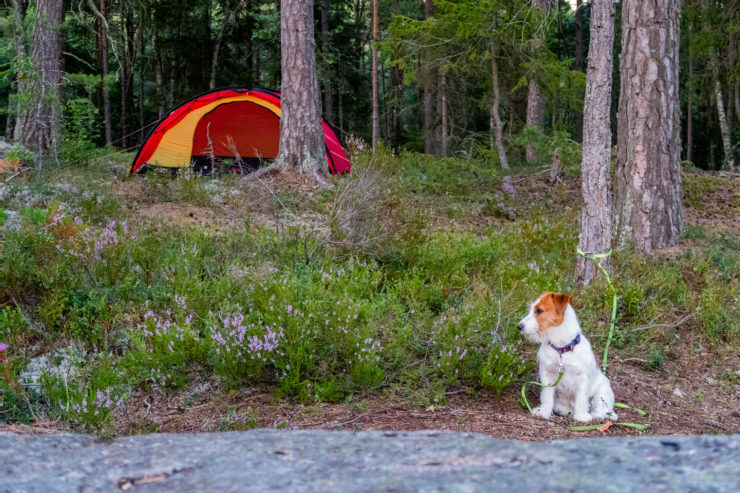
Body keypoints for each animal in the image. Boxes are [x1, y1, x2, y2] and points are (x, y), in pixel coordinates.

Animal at [520, 292, 620, 422]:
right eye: (530, 309)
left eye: (539, 310)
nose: (519, 326)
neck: (561, 349)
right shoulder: (547, 376)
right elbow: (547, 396)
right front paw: (544, 411)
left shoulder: (582, 378)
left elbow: (581, 398)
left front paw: (581, 416)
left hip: (603, 389)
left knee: (603, 409)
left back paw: (598, 414)